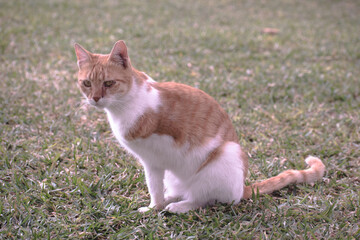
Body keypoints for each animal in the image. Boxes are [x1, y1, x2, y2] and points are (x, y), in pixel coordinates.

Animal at [74, 40, 326, 213]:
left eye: (109, 83)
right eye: (86, 83)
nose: (95, 98)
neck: (124, 105)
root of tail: (242, 186)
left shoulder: (158, 154)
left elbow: (156, 186)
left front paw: (157, 207)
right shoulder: (153, 164)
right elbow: (155, 187)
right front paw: (156, 206)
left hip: (223, 159)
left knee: (205, 197)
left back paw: (180, 206)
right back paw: (173, 199)